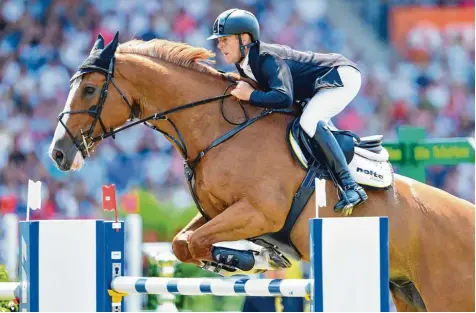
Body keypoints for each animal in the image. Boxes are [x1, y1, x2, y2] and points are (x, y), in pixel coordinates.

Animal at [47, 33, 472, 310]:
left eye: (89, 89)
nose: (59, 153)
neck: (216, 128)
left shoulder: (258, 212)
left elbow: (197, 243)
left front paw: (247, 260)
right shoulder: (216, 212)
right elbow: (183, 244)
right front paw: (250, 258)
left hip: (446, 296)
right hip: (408, 294)